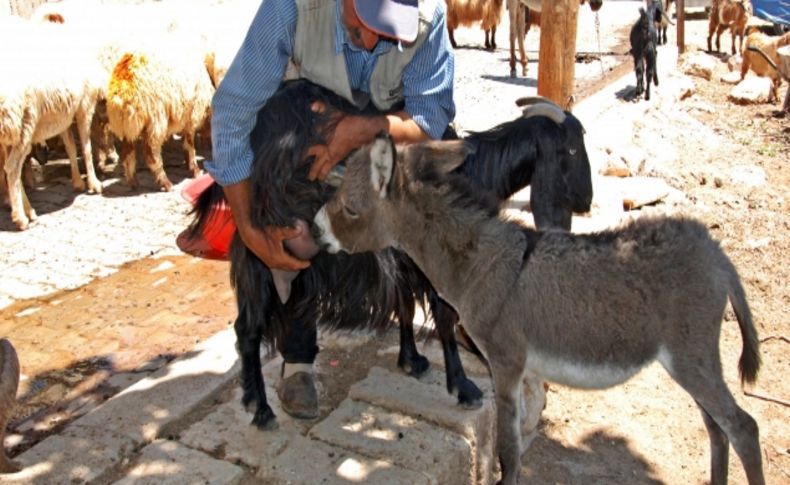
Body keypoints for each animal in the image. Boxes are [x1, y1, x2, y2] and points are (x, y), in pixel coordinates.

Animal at [187, 78, 592, 428]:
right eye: (571, 148)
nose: (586, 201)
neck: (474, 172)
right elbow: (444, 316)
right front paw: (464, 387)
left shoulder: (405, 260)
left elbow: (406, 304)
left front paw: (412, 360)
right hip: (261, 262)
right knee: (248, 331)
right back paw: (261, 409)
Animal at [318, 133, 768, 484]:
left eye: (351, 208)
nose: (317, 229)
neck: (481, 263)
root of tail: (715, 252)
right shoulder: (524, 370)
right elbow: (518, 439)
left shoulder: (506, 363)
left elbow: (508, 450)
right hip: (689, 362)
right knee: (717, 429)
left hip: (692, 358)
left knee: (742, 427)